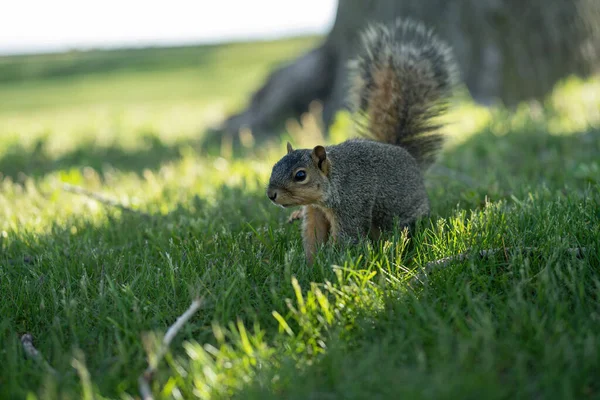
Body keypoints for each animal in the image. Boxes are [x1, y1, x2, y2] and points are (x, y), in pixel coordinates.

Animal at [264, 18, 458, 264]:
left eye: (300, 175)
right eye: (274, 166)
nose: (271, 195)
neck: (334, 181)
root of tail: (407, 156)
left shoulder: (352, 204)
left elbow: (347, 238)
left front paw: (333, 262)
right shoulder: (315, 212)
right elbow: (313, 237)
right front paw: (309, 264)